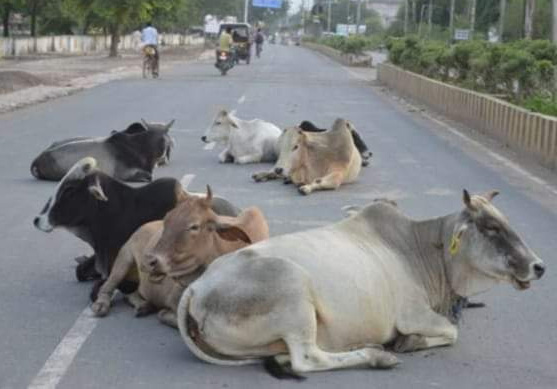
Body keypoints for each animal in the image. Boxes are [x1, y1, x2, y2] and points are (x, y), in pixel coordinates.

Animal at [28, 119, 176, 183]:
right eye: (157, 137)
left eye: (165, 137)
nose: (163, 155)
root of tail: (36, 162)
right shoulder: (125, 174)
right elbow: (149, 178)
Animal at [91, 186, 270, 326]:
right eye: (166, 219)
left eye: (194, 226)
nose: (149, 261)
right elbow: (167, 316)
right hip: (124, 259)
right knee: (107, 287)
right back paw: (102, 305)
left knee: (131, 293)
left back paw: (144, 306)